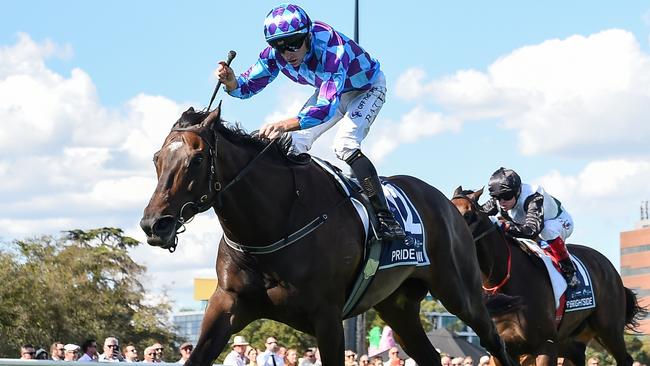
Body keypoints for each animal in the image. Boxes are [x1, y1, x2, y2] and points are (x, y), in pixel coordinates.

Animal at [140, 106, 516, 366]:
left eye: (197, 159)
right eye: (157, 158)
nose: (154, 224)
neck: (275, 222)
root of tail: (448, 204)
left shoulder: (328, 317)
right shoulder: (227, 303)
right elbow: (197, 357)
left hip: (460, 292)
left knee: (494, 341)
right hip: (397, 306)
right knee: (430, 356)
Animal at [448, 187, 644, 364]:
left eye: (468, 214)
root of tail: (609, 267)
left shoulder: (546, 344)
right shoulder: (502, 350)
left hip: (609, 329)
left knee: (625, 359)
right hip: (574, 340)